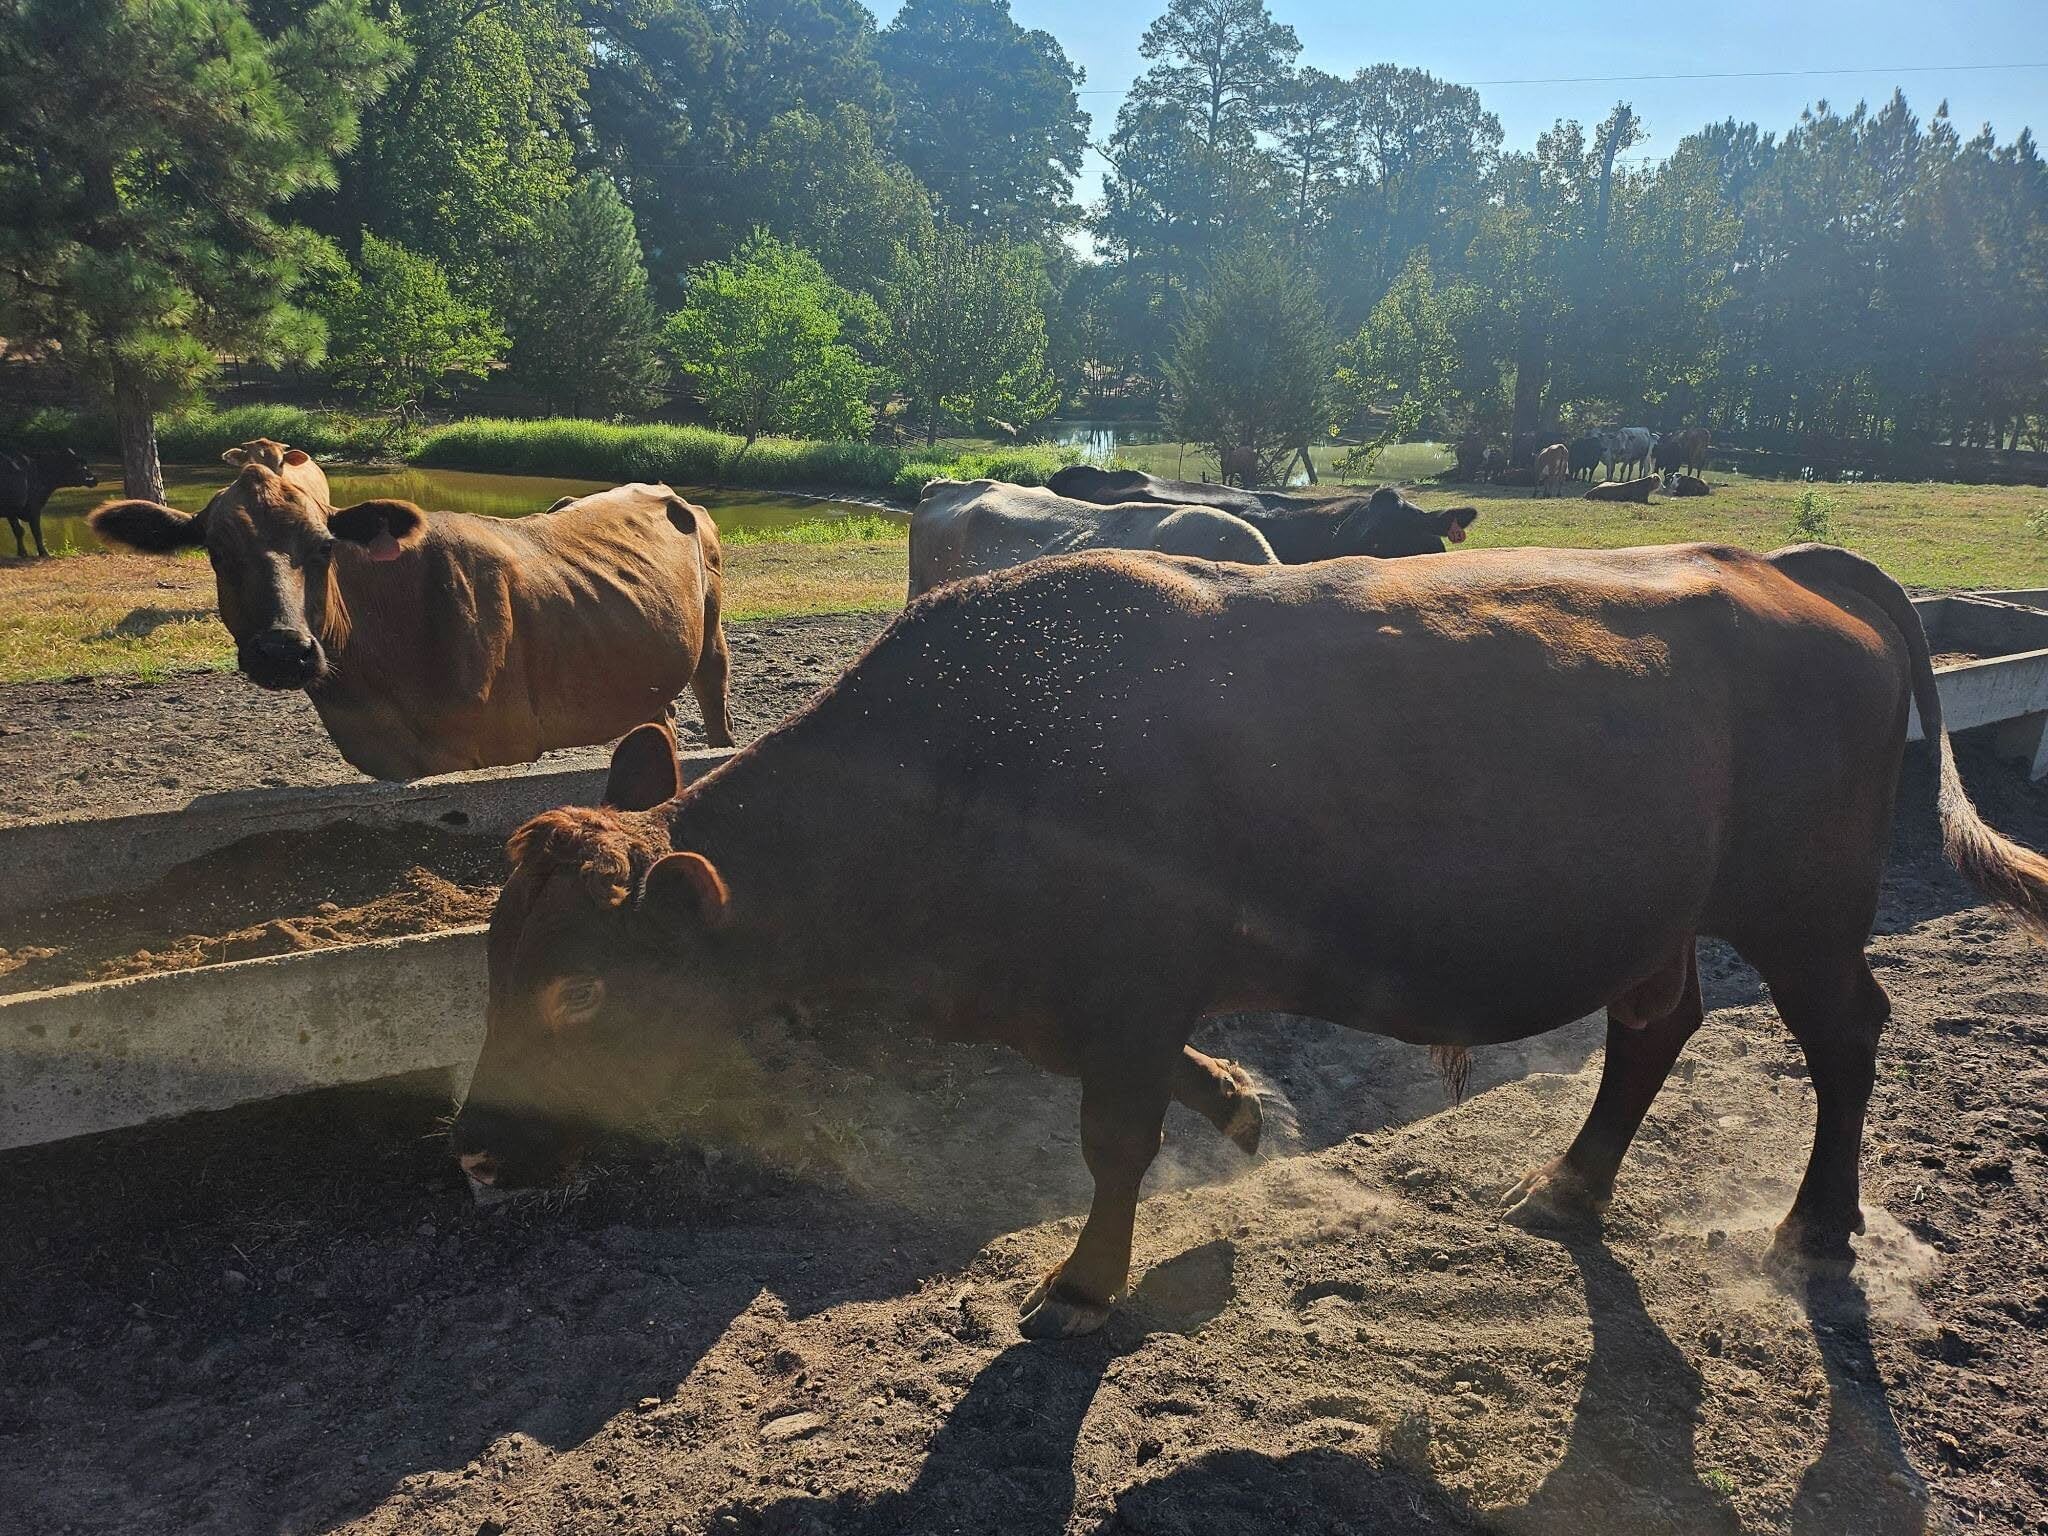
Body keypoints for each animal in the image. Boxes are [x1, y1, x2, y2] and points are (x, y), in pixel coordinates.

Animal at [90, 473, 734, 780]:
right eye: (217, 552)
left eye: (325, 547)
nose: (282, 650)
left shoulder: (487, 743)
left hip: (712, 637)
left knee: (715, 698)